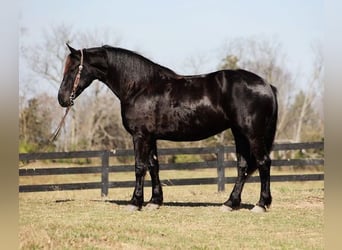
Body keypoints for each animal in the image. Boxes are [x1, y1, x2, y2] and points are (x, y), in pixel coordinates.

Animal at [58, 45, 278, 213]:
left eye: (74, 68)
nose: (62, 99)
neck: (139, 87)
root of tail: (267, 85)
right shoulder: (151, 137)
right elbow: (153, 166)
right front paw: (154, 202)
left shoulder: (140, 136)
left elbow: (139, 167)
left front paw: (135, 202)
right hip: (239, 133)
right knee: (243, 166)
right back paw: (230, 203)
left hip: (252, 134)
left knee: (263, 162)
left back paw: (261, 204)